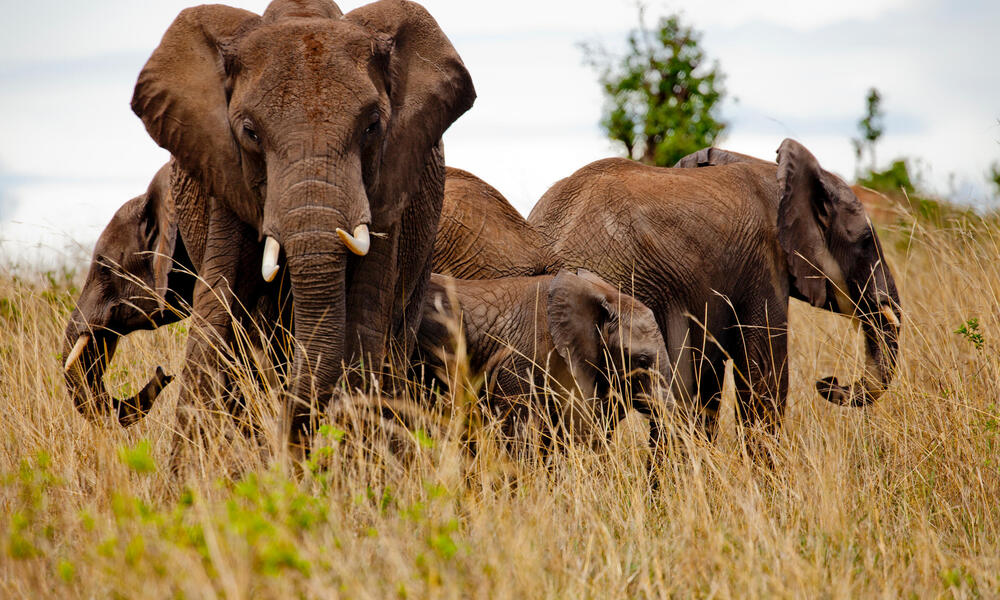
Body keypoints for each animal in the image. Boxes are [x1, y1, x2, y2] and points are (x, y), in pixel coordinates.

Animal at [131, 0, 474, 450]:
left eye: (372, 126)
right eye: (250, 132)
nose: (286, 440)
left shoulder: (390, 180)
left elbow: (365, 316)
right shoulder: (223, 171)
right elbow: (216, 309)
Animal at [532, 138, 908, 448]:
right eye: (866, 242)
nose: (829, 381)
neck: (775, 175)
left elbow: (707, 386)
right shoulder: (764, 267)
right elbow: (764, 381)